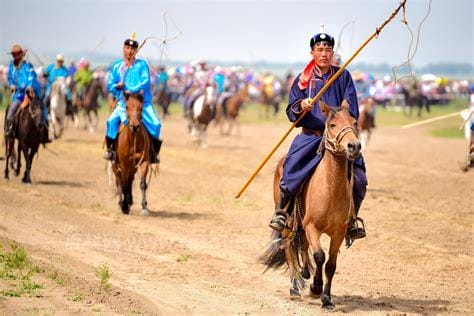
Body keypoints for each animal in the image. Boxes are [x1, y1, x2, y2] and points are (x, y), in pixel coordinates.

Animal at [262, 100, 362, 308]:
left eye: (355, 122)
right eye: (332, 125)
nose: (354, 146)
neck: (331, 188)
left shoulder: (338, 233)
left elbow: (330, 264)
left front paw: (327, 299)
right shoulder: (311, 226)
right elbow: (320, 256)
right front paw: (315, 288)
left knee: (302, 245)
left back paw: (306, 272)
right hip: (288, 224)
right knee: (289, 248)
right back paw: (294, 288)